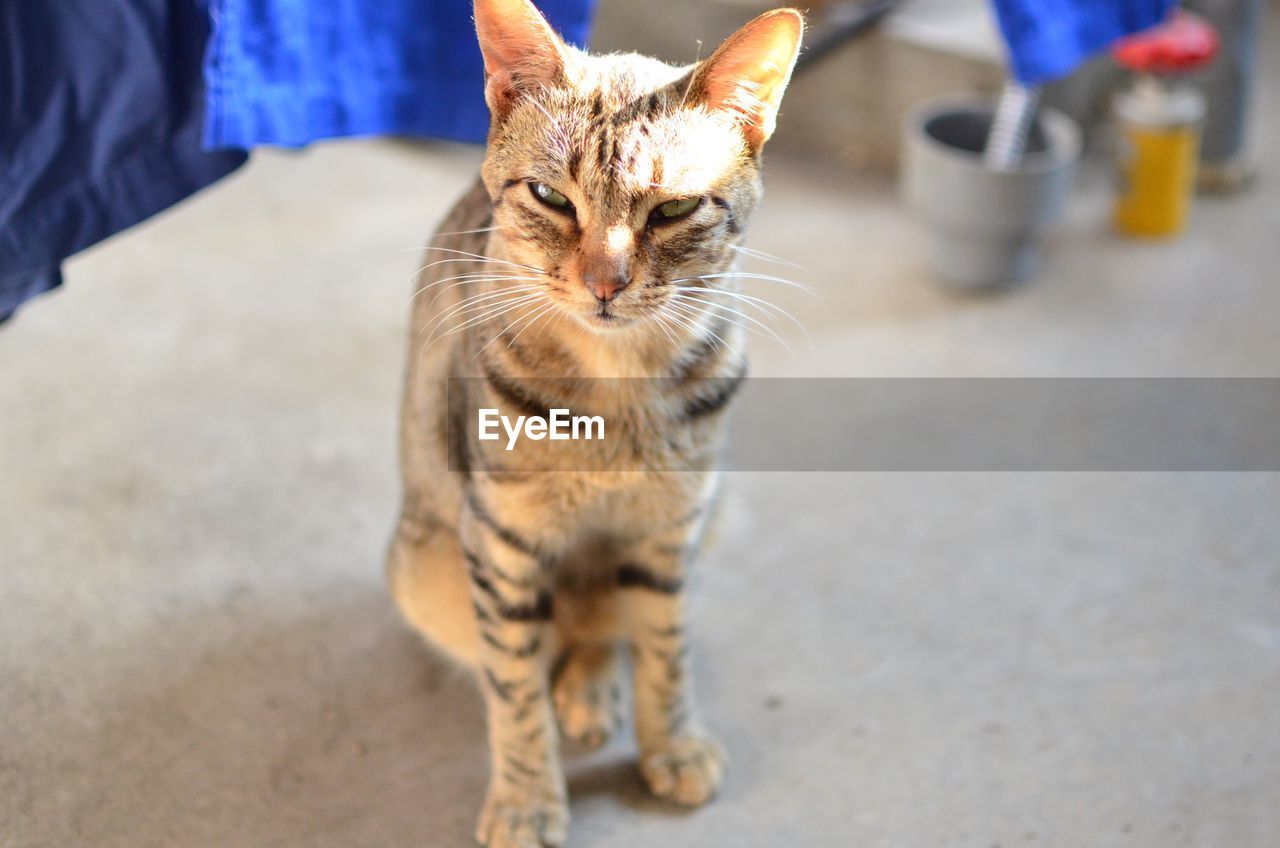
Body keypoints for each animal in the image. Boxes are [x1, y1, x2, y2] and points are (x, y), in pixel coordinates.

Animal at [386, 3, 798, 845]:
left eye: (674, 207)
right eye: (550, 196)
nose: (605, 284)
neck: (617, 392)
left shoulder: (670, 530)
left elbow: (664, 649)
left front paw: (671, 743)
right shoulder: (501, 543)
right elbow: (513, 691)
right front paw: (525, 798)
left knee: (601, 626)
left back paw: (593, 686)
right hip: (428, 571)